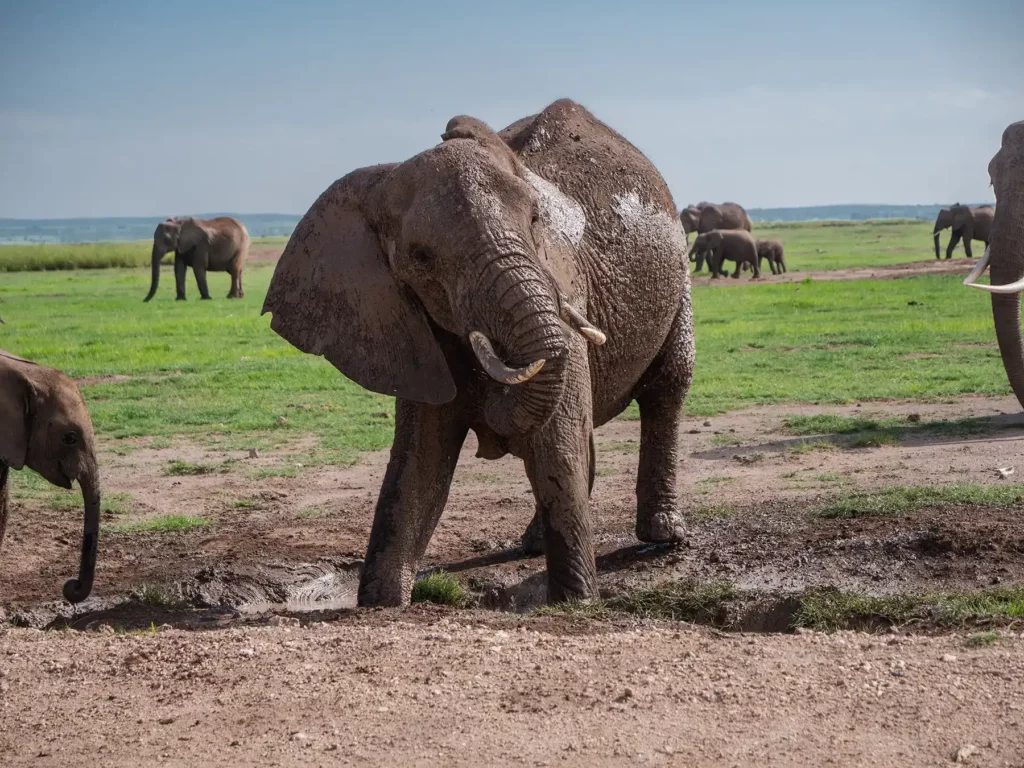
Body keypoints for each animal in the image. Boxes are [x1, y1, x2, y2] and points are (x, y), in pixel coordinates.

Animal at [262, 99, 695, 607]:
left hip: (681, 275)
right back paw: (534, 543)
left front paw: (577, 601)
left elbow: (558, 449)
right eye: (420, 257)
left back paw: (663, 536)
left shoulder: (566, 286)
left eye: (535, 220)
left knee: (668, 388)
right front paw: (381, 601)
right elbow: (418, 465)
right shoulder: (409, 328)